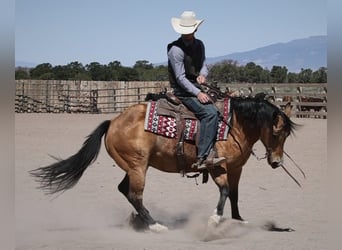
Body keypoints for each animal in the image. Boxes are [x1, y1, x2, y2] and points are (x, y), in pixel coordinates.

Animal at [30, 94, 298, 232]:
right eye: (276, 133)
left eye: (286, 135)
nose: (277, 162)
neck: (233, 124)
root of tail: (113, 122)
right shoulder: (216, 166)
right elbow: (223, 191)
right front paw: (214, 219)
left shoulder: (236, 168)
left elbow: (233, 194)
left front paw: (239, 220)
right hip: (138, 167)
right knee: (134, 194)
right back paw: (155, 225)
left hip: (134, 167)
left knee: (125, 190)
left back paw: (142, 221)